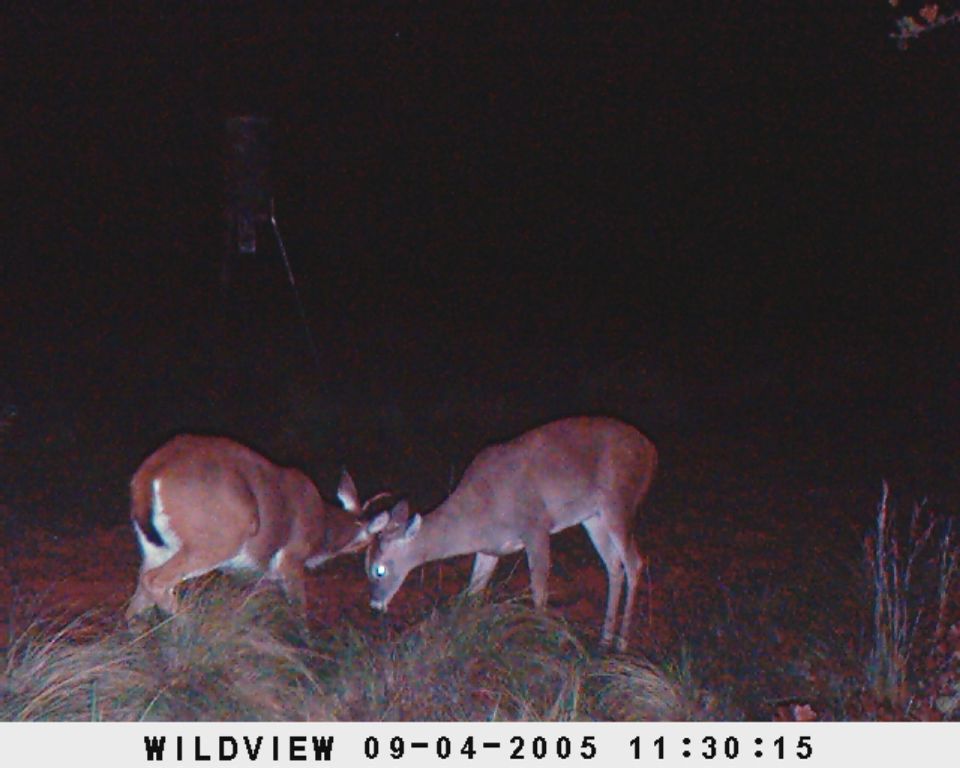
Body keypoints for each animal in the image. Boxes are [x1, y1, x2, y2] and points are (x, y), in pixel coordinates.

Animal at [126, 434, 386, 621]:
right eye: (371, 542)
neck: (323, 527)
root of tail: (150, 472)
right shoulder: (291, 559)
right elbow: (299, 613)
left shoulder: (261, 574)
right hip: (217, 541)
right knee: (155, 582)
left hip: (156, 547)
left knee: (136, 603)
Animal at [364, 416, 657, 651]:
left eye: (379, 569)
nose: (375, 605)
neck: (479, 515)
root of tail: (651, 451)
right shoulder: (489, 549)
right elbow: (473, 591)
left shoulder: (536, 526)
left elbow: (539, 590)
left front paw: (543, 640)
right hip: (593, 518)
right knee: (614, 566)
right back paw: (604, 640)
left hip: (618, 502)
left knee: (634, 562)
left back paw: (622, 643)